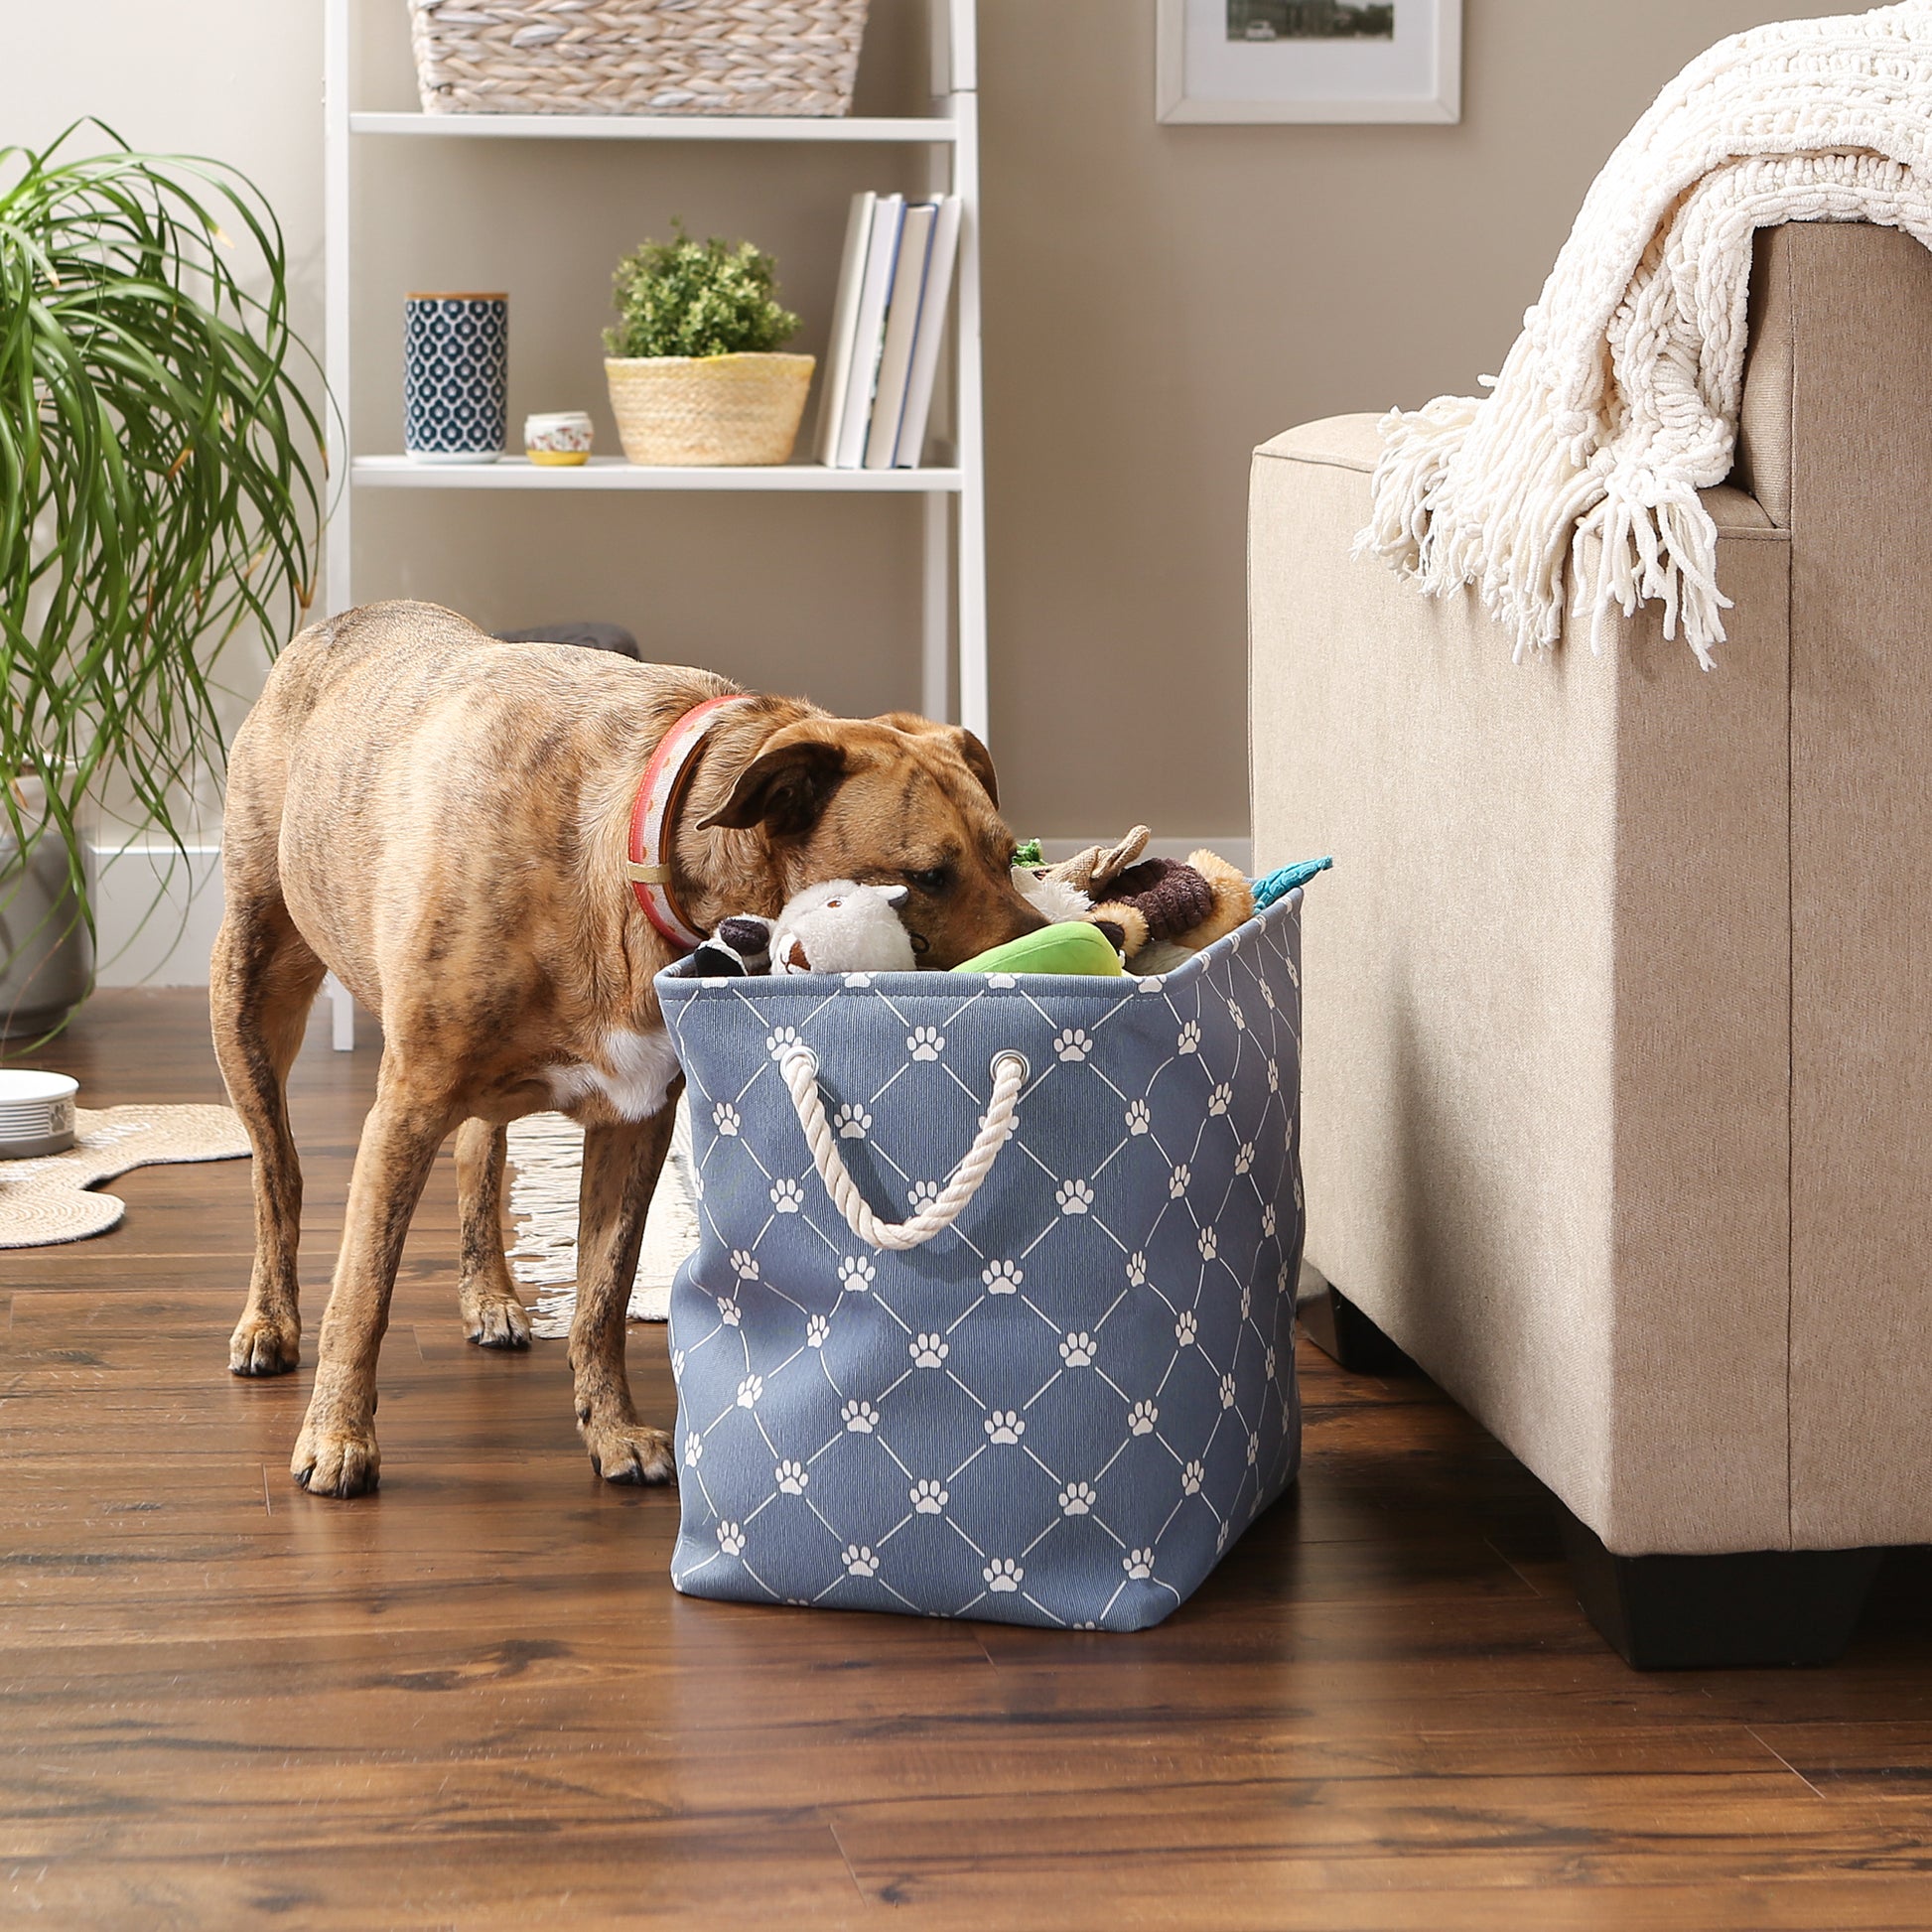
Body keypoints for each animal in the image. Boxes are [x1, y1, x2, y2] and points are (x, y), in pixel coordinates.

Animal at [211, 595, 1042, 1499]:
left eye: (1011, 856)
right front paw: (337, 1438)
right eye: (926, 878)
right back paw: (269, 1320)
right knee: (279, 1173)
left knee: (478, 1153)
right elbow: (362, 1291)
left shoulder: (636, 1121)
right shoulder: (408, 1103)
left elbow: (602, 1297)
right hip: (253, 986)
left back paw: (489, 1292)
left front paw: (610, 1429)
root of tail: (349, 618)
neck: (645, 854)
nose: (1084, 941)